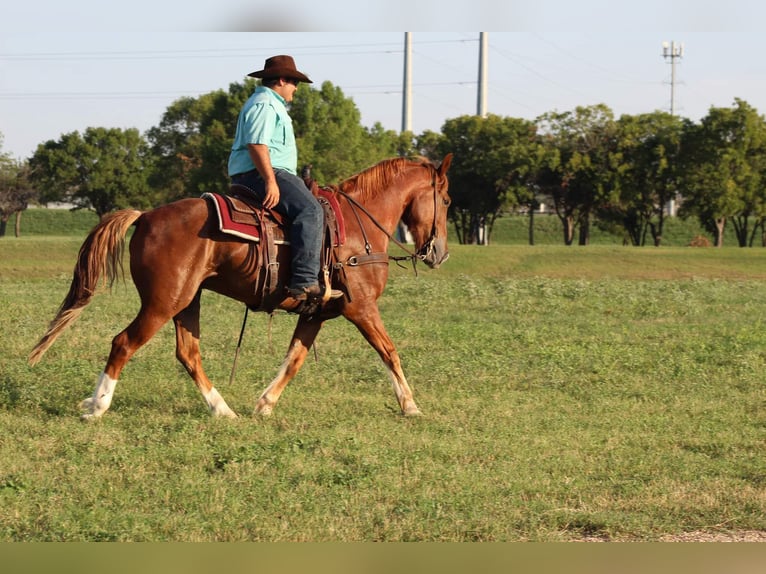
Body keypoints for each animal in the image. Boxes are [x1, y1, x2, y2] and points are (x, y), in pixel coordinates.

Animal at [28, 155, 450, 420]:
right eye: (445, 199)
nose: (440, 253)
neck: (359, 225)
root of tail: (146, 215)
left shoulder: (316, 313)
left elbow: (294, 359)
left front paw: (264, 404)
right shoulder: (360, 307)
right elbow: (390, 352)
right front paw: (411, 406)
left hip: (186, 301)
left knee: (188, 353)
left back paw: (222, 410)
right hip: (163, 302)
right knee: (124, 343)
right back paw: (97, 406)